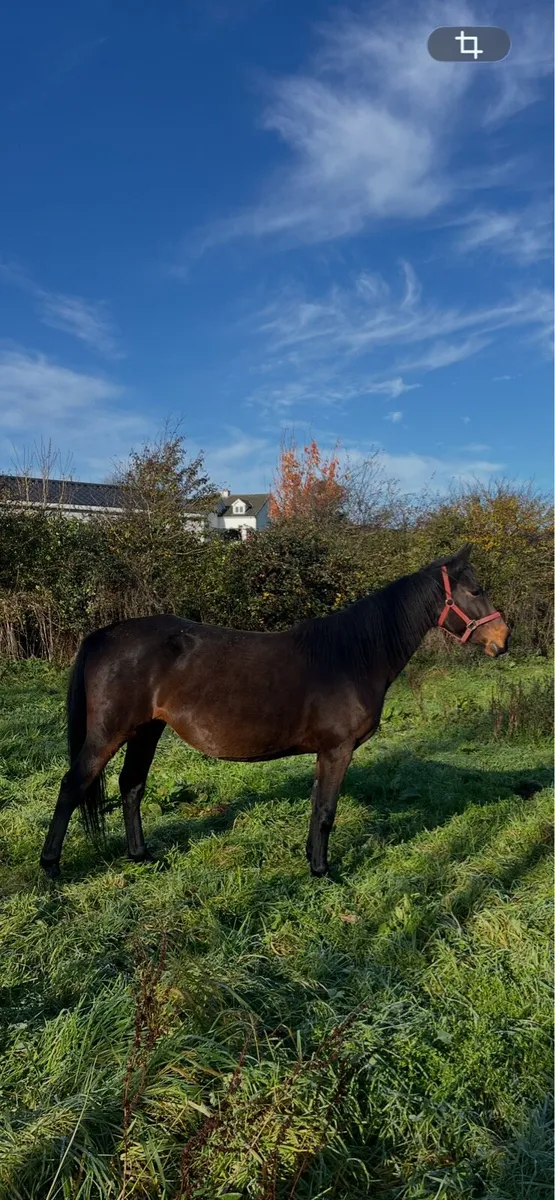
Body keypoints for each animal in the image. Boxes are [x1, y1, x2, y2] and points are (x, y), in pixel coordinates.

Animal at [39, 544, 509, 880]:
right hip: (109, 732)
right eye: (476, 590)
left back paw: (141, 856)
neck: (351, 656)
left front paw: (312, 860)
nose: (503, 639)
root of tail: (102, 635)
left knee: (131, 785)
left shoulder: (326, 753)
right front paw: (323, 871)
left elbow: (318, 805)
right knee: (73, 786)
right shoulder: (338, 749)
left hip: (146, 730)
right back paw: (51, 868)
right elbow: (326, 810)